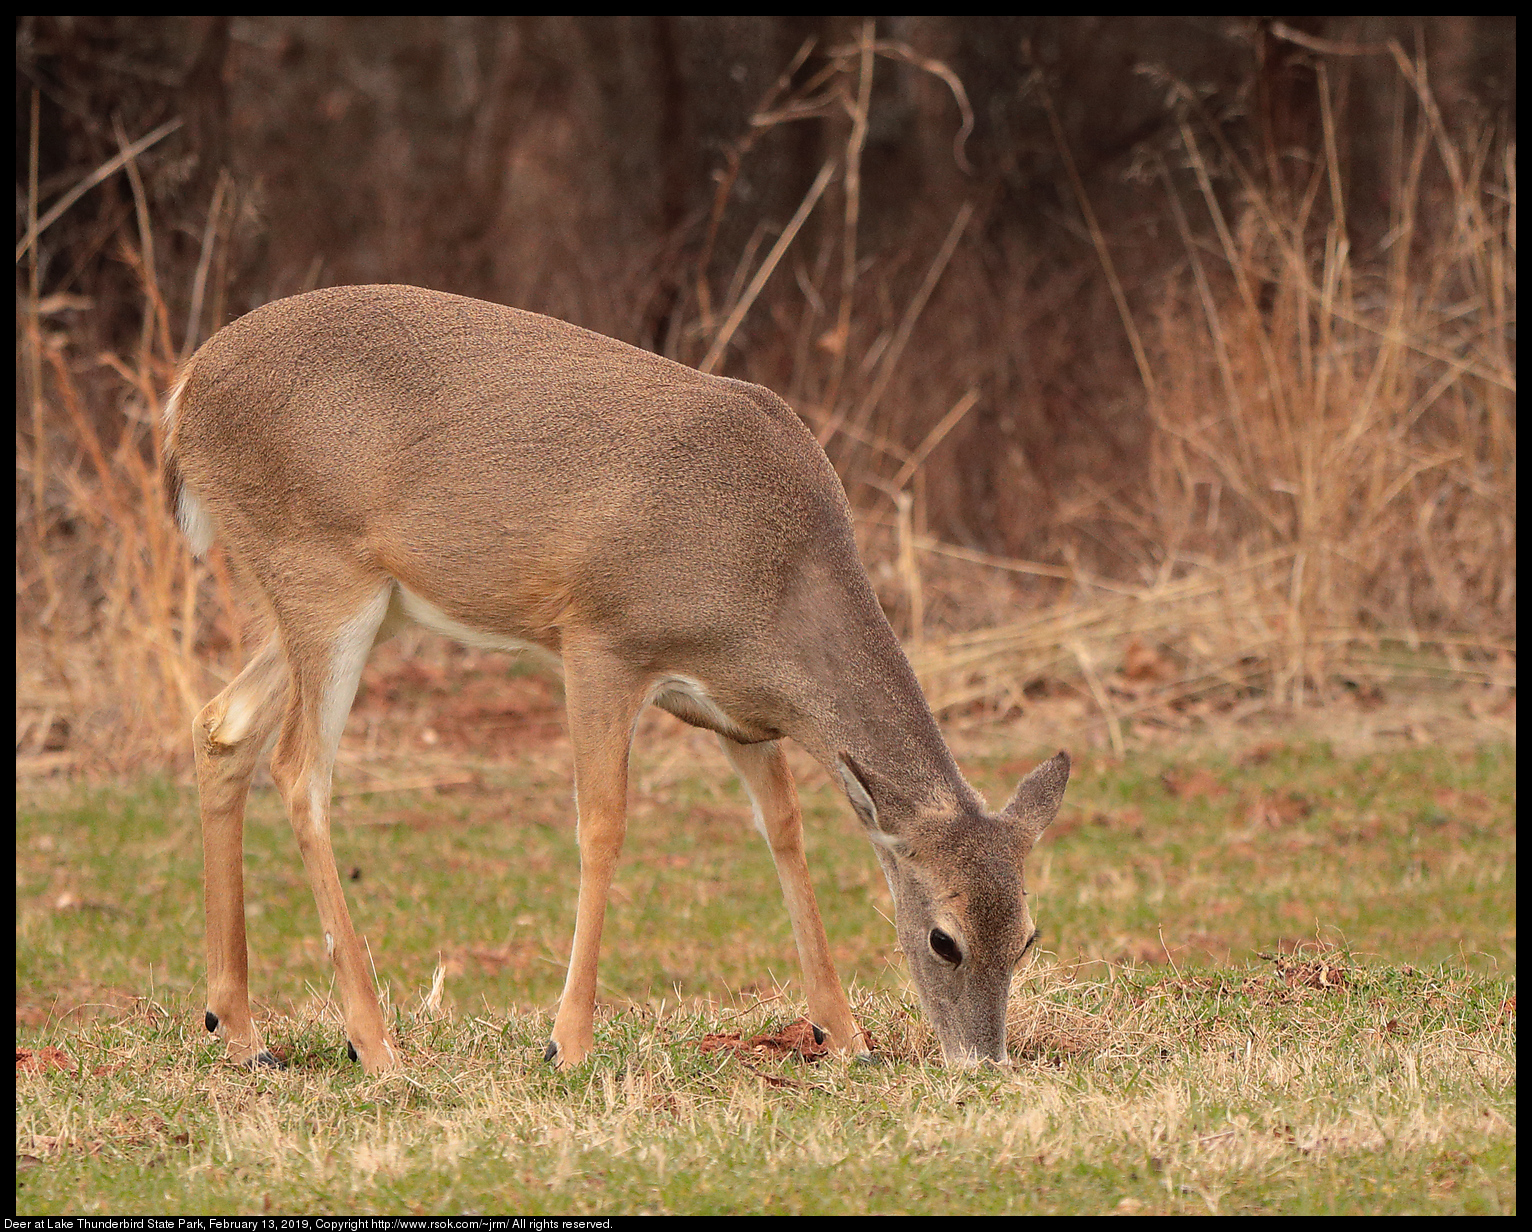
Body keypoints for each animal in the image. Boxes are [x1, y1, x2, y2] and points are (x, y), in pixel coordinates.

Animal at [161, 283, 1072, 1072]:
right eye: (944, 938)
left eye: (1028, 936)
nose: (985, 1062)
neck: (773, 581)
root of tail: (185, 393)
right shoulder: (602, 639)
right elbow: (603, 824)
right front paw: (567, 1042)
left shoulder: (739, 713)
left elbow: (784, 830)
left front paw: (843, 1033)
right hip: (323, 572)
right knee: (299, 770)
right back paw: (372, 1043)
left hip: (356, 602)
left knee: (222, 726)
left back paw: (240, 1031)